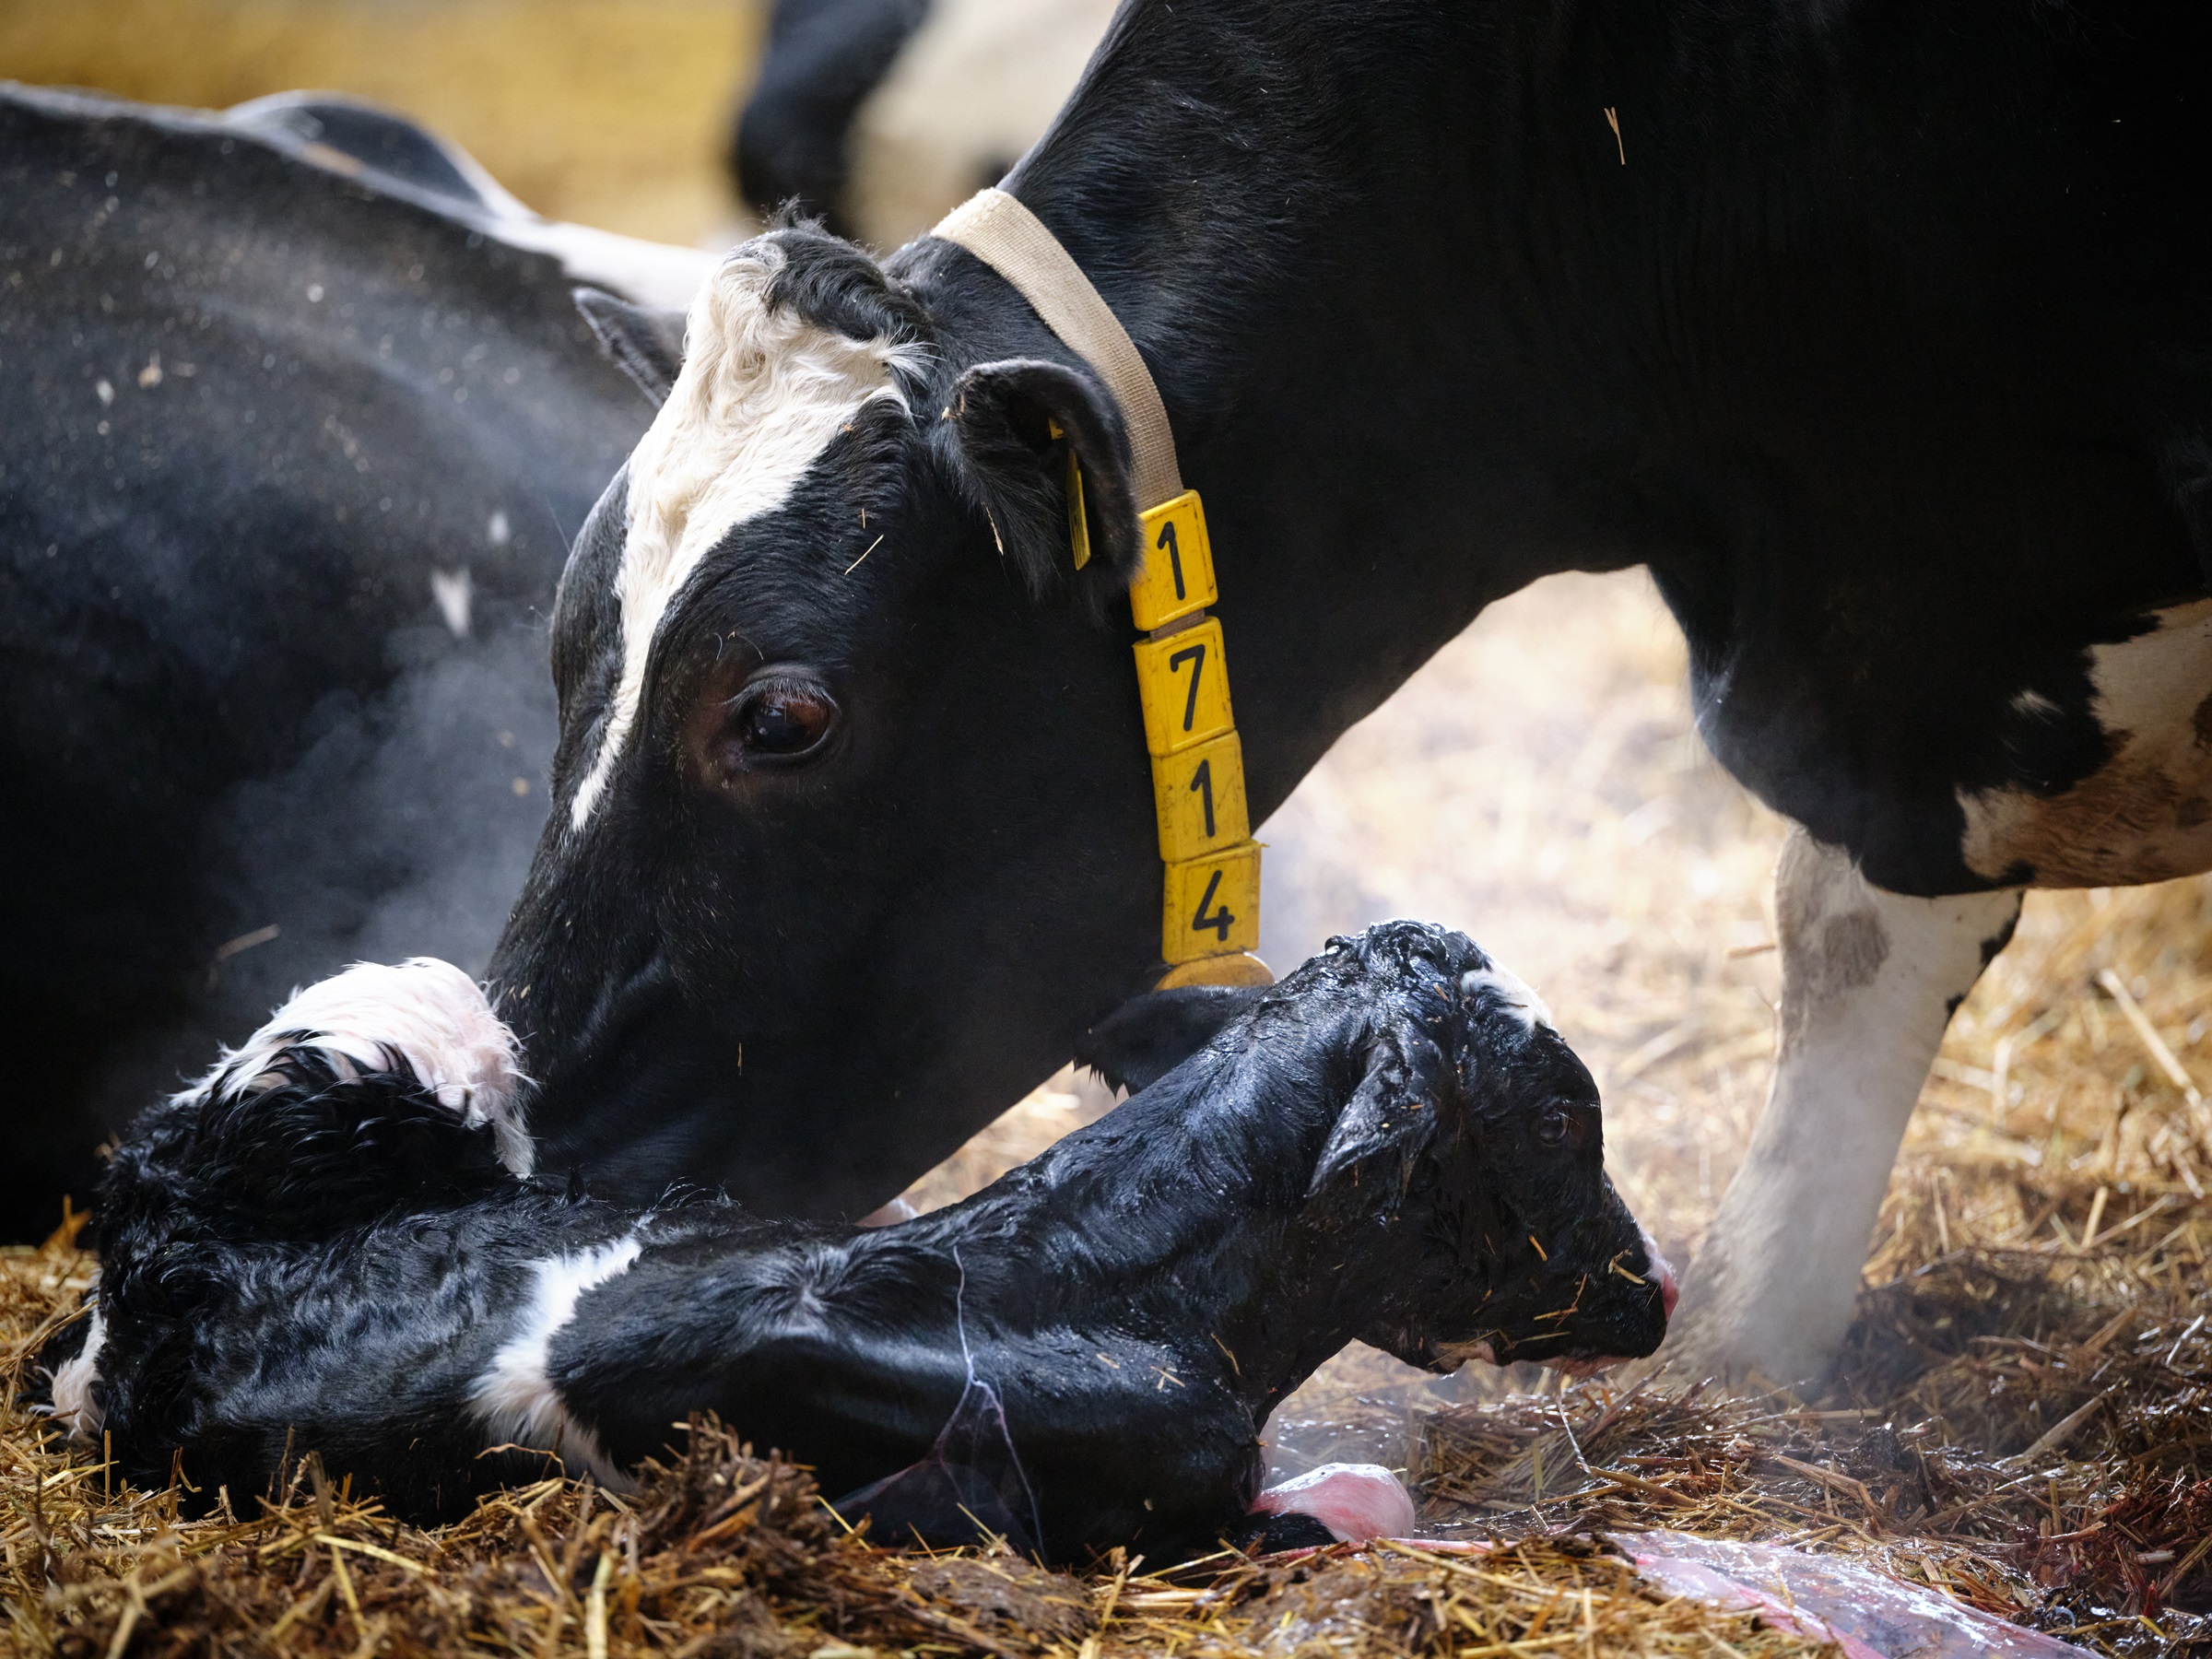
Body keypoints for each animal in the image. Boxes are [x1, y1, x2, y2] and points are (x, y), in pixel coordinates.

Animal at [44, 920, 1674, 1561]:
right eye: (1556, 1117)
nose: (1659, 1287)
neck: (1105, 1279)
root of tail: (164, 1238)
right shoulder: (1139, 1516)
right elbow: (1353, 1508)